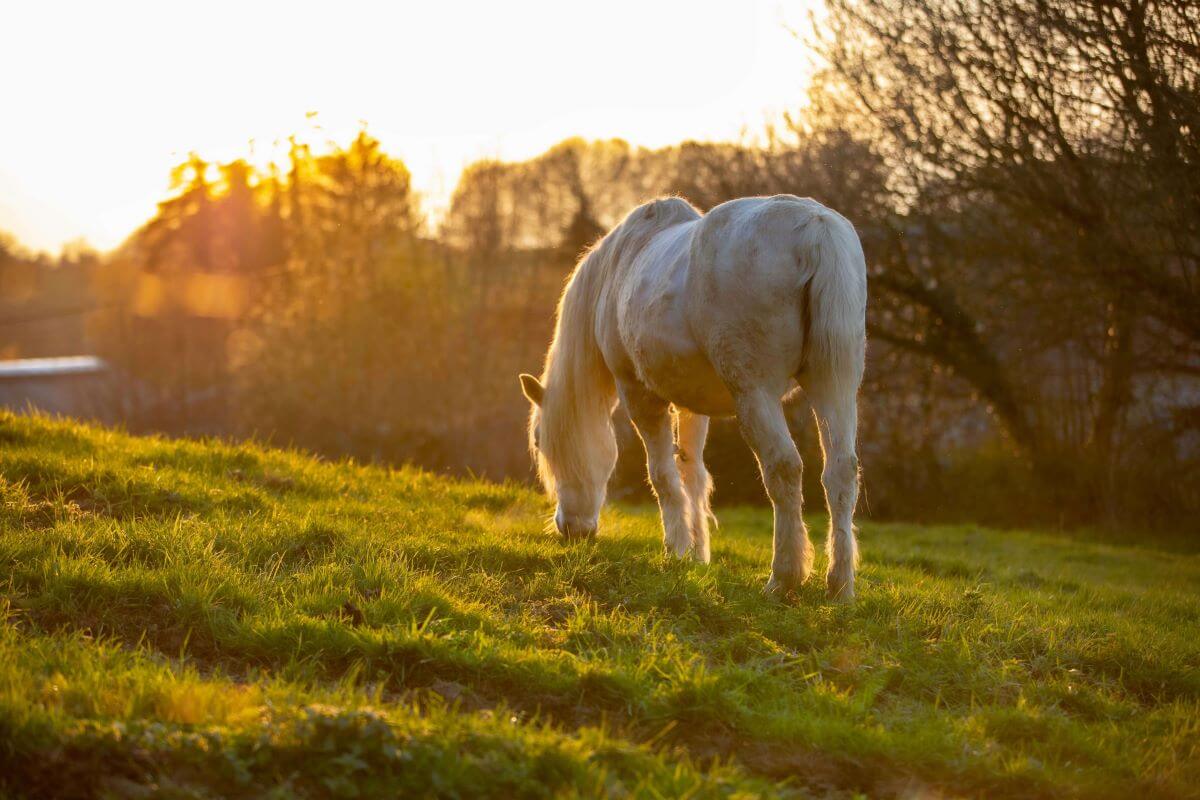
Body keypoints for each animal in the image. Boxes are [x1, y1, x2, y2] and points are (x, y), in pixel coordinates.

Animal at [520, 194, 868, 599]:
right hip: (835, 386)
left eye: (539, 442)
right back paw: (840, 586)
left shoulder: (638, 393)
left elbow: (662, 475)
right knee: (841, 470)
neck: (617, 271)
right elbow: (693, 473)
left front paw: (675, 551)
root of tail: (815, 228)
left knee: (783, 467)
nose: (572, 530)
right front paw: (697, 556)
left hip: (755, 393)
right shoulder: (693, 404)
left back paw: (783, 578)